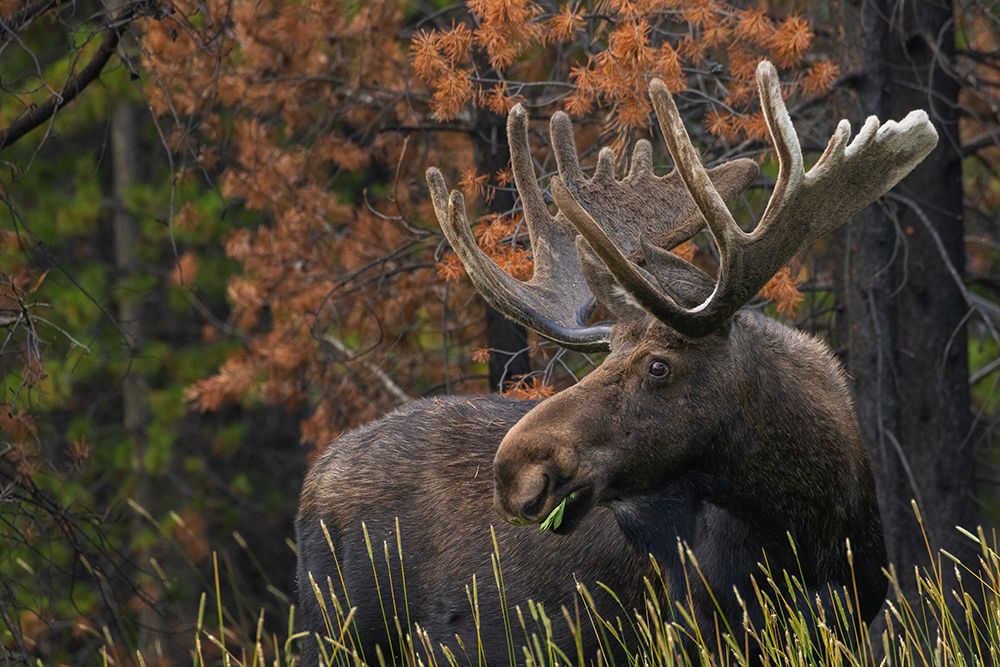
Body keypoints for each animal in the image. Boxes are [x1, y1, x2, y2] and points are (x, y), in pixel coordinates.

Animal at [296, 61, 938, 666]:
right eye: (608, 355)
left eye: (657, 366)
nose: (514, 471)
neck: (811, 527)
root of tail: (314, 480)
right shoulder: (695, 631)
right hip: (337, 633)